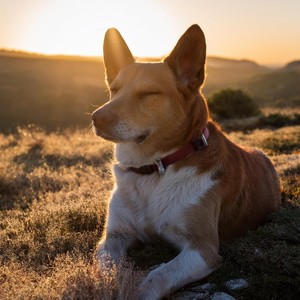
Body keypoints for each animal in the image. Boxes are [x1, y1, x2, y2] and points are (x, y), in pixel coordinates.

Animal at [92, 24, 282, 300]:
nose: (96, 118)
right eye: (114, 90)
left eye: (150, 93)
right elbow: (107, 269)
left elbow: (157, 276)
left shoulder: (202, 250)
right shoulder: (113, 237)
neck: (155, 169)